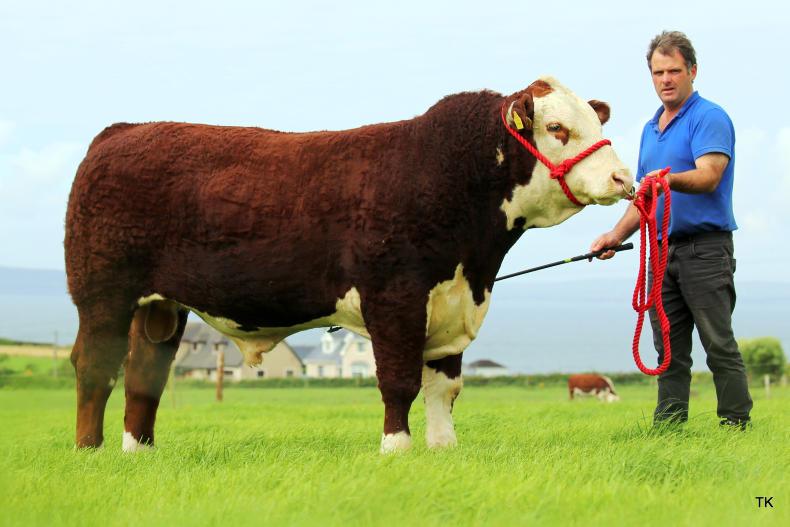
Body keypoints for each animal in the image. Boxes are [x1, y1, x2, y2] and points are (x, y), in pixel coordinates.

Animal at [65, 76, 633, 453]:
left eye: (594, 120)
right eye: (557, 127)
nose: (623, 178)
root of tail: (122, 131)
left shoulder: (451, 306)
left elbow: (444, 387)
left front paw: (443, 450)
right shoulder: (395, 297)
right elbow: (399, 381)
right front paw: (396, 451)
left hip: (161, 305)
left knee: (144, 374)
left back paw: (139, 451)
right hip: (102, 293)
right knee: (95, 365)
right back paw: (90, 451)